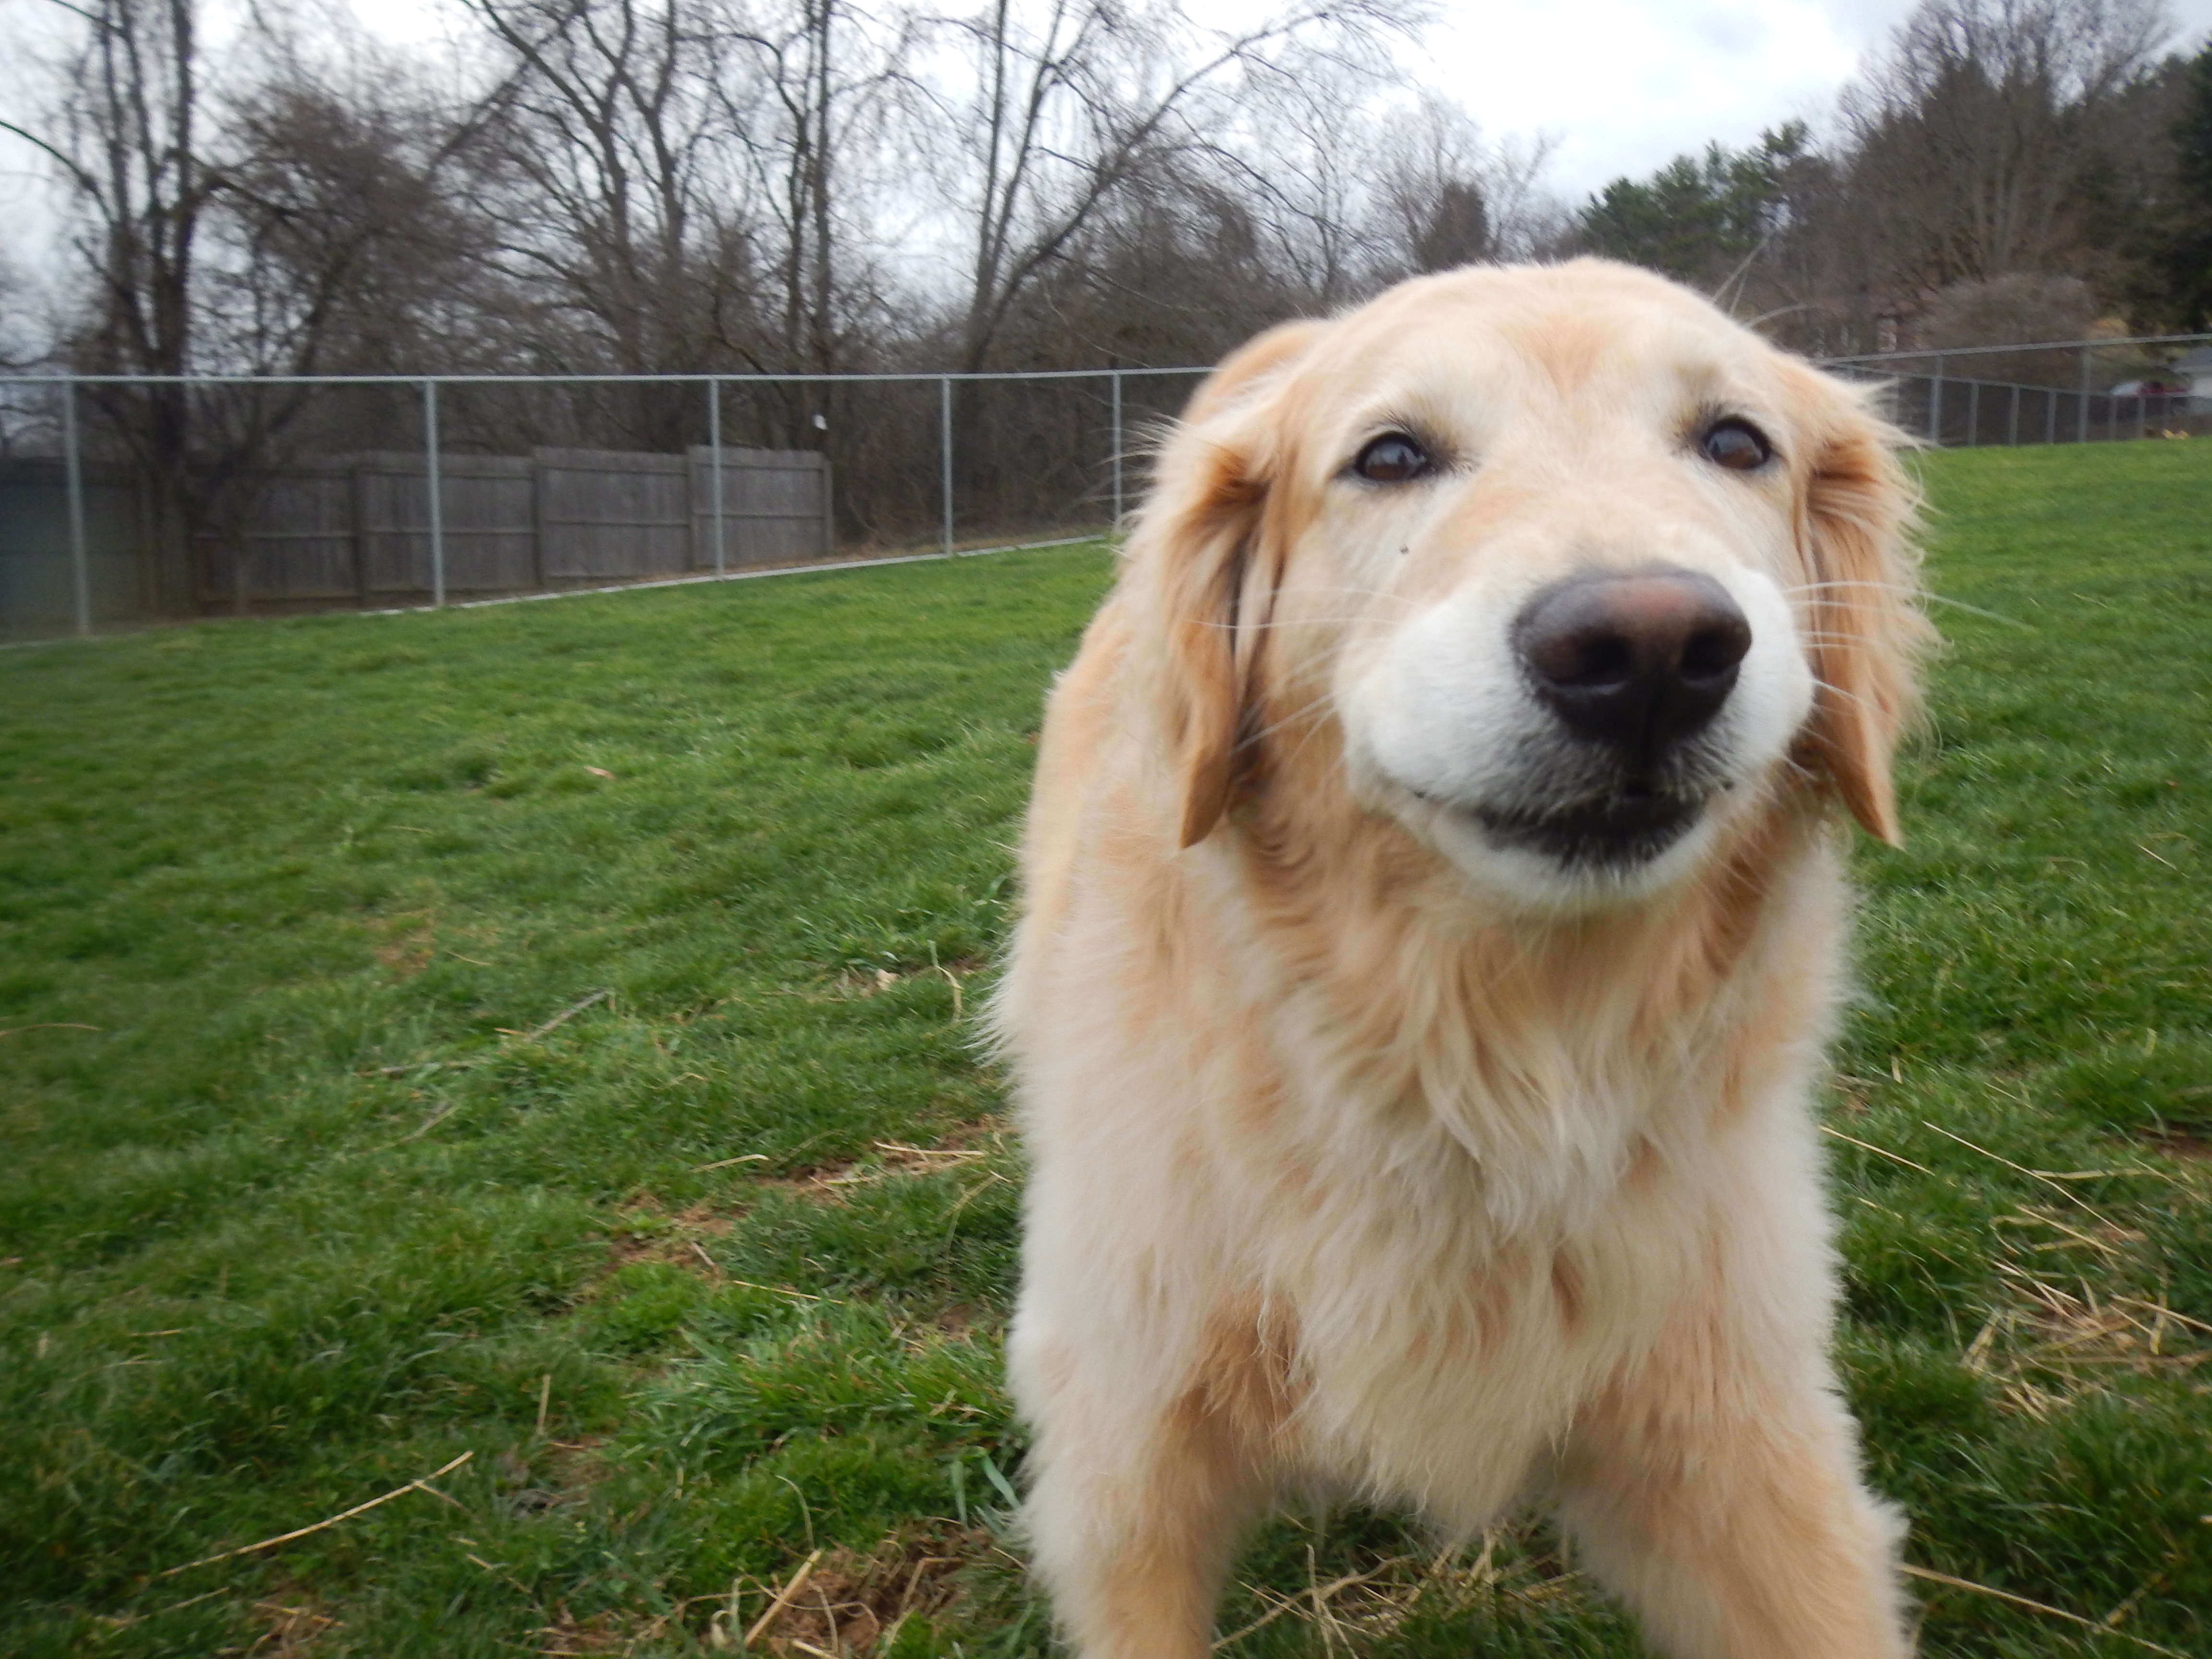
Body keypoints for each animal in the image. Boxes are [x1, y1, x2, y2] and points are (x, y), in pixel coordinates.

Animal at [995, 263, 1929, 1659]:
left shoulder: (1738, 1433)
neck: (1485, 1068)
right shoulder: (1126, 1462)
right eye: (1390, 456)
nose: (1648, 652)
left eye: (1735, 442)